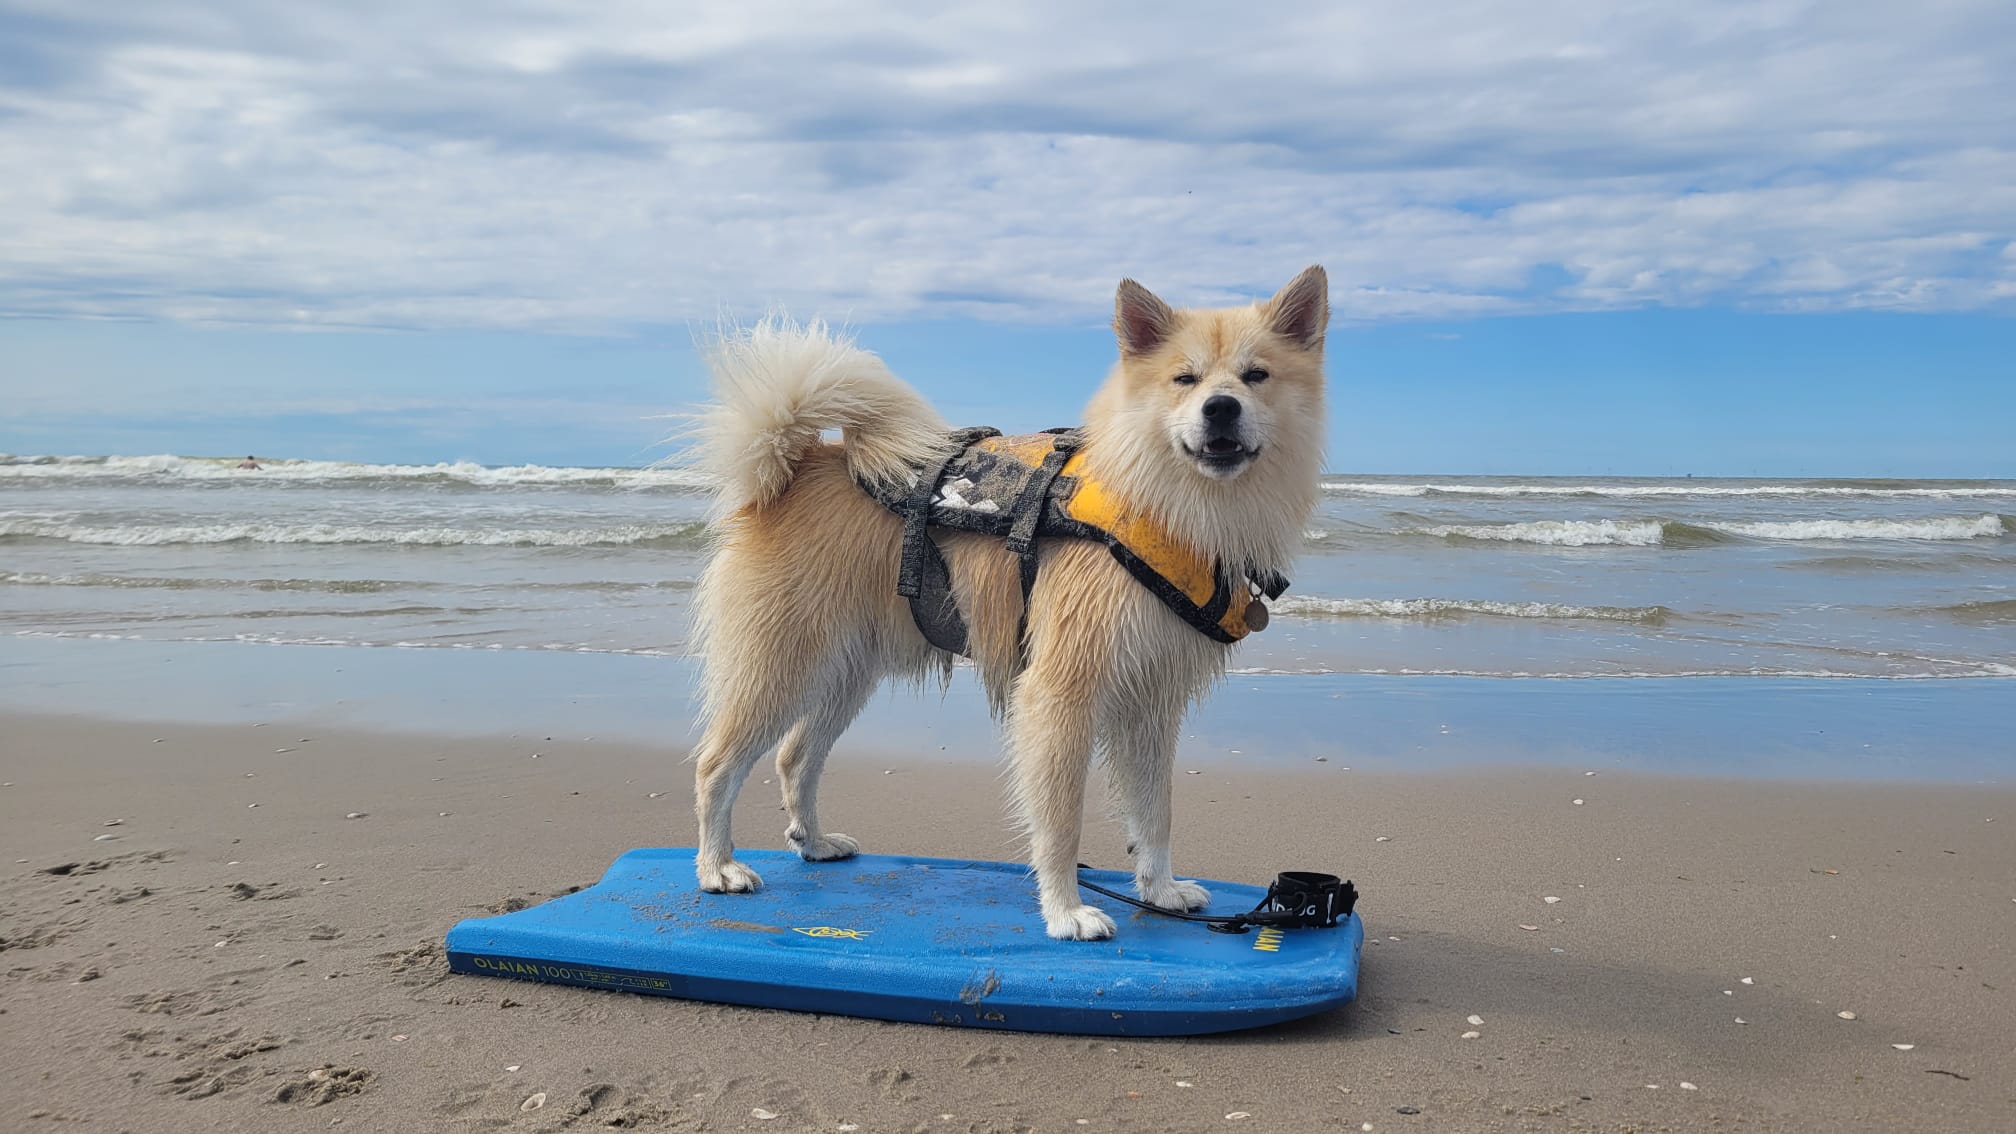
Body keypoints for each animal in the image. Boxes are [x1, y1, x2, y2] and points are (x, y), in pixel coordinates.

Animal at [685, 266, 1330, 936]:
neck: (1162, 501)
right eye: (1186, 378)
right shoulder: (1060, 693)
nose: (1220, 407)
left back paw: (812, 843)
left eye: (1256, 375)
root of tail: (788, 469)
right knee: (716, 765)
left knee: (794, 757)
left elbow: (1155, 813)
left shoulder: (1151, 702)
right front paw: (1067, 911)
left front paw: (1160, 890)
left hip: (846, 671)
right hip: (780, 665)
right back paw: (717, 868)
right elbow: (1062, 823)